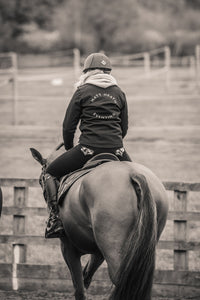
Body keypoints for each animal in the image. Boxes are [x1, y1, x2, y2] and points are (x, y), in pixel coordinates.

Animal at [30, 148, 168, 300]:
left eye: (41, 179)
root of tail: (133, 174)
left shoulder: (68, 248)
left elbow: (79, 288)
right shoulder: (98, 253)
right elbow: (86, 276)